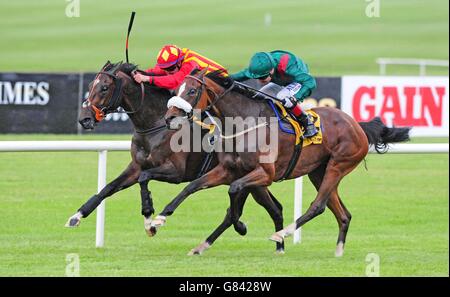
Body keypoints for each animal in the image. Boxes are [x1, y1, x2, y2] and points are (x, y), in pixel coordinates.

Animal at [67, 61, 284, 253]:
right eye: (89, 86)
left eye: (104, 88)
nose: (84, 119)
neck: (155, 124)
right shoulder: (136, 166)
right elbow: (108, 188)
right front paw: (77, 215)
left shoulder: (176, 172)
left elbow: (145, 178)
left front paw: (149, 217)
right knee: (271, 208)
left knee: (267, 209)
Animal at [156, 68, 412, 256]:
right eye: (177, 89)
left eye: (191, 91)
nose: (169, 118)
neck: (244, 123)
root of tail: (357, 125)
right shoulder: (228, 169)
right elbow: (192, 186)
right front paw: (158, 219)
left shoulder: (264, 173)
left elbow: (234, 191)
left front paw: (240, 226)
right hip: (318, 172)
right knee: (343, 213)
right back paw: (338, 250)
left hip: (339, 164)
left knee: (318, 205)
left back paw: (283, 234)